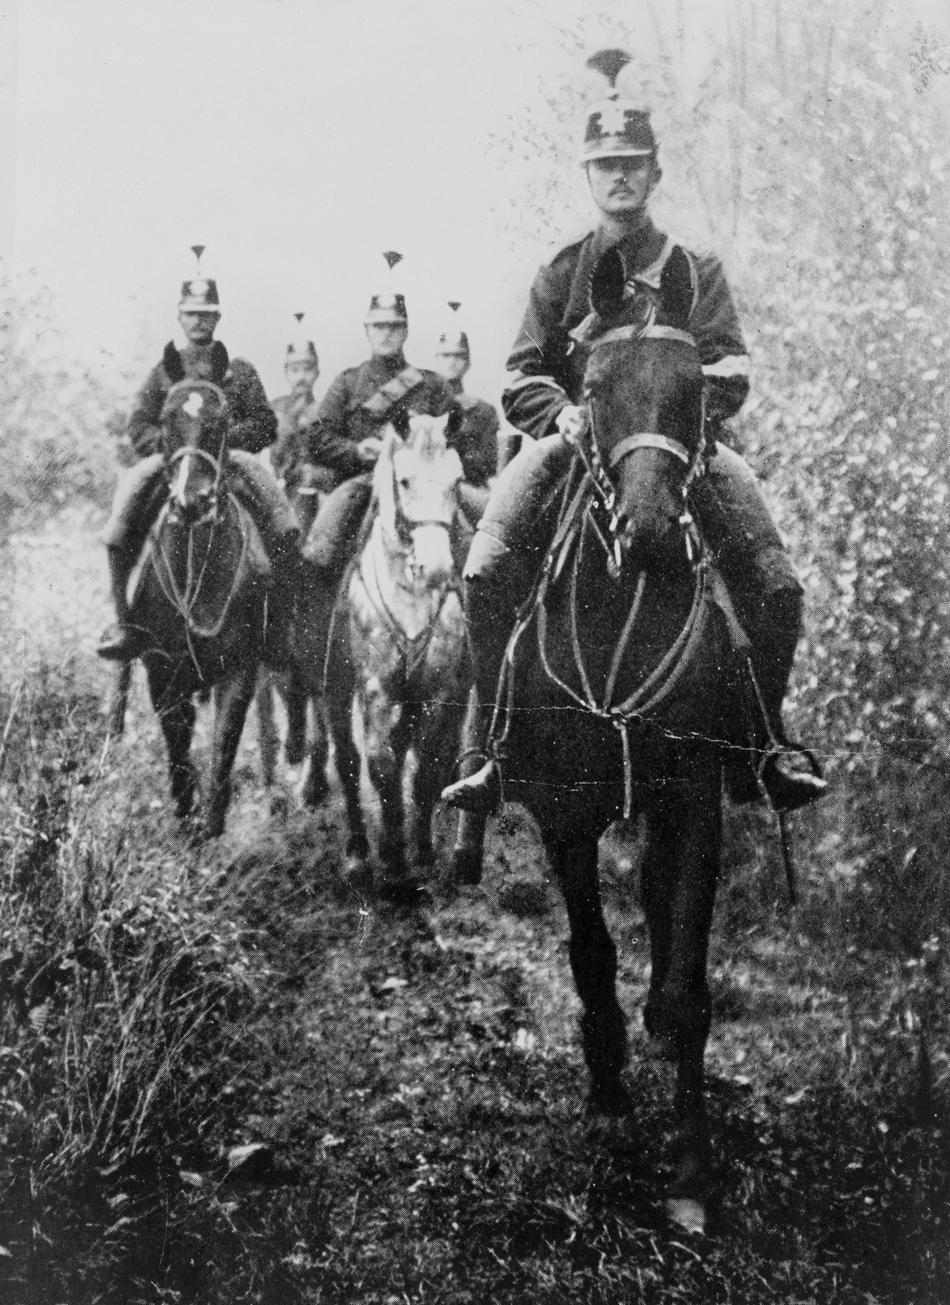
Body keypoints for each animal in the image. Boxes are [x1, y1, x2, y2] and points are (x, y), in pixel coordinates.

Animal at [117, 370, 268, 835]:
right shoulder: (163, 674)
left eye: (222, 420)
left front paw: (212, 824)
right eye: (167, 418)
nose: (191, 501)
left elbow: (223, 749)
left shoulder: (240, 671)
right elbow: (179, 752)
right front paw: (187, 825)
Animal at [456, 246, 746, 1231]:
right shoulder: (565, 809)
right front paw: (612, 1101)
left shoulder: (694, 797)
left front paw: (692, 1166)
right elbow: (590, 949)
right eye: (591, 384)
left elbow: (689, 986)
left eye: (697, 389)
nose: (651, 531)